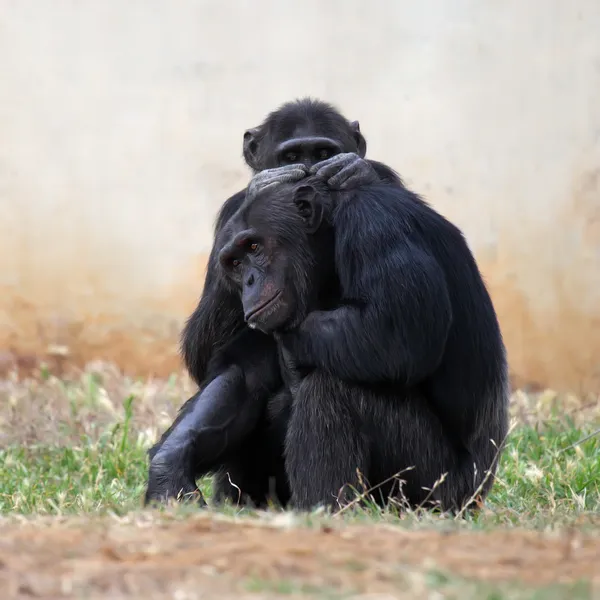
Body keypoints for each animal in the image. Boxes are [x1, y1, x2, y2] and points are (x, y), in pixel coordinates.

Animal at [146, 98, 408, 506]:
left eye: (323, 154)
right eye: (291, 157)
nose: (307, 176)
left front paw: (353, 172)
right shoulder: (230, 214)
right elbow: (203, 353)